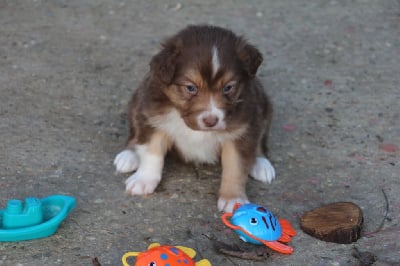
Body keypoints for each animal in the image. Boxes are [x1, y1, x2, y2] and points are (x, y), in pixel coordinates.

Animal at [112, 25, 276, 212]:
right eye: (191, 88)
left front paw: (233, 199)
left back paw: (261, 163)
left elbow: (235, 167)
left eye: (228, 88)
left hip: (263, 107)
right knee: (135, 134)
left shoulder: (243, 130)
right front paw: (143, 180)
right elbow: (151, 152)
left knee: (261, 141)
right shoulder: (153, 118)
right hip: (137, 101)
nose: (211, 121)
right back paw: (129, 155)